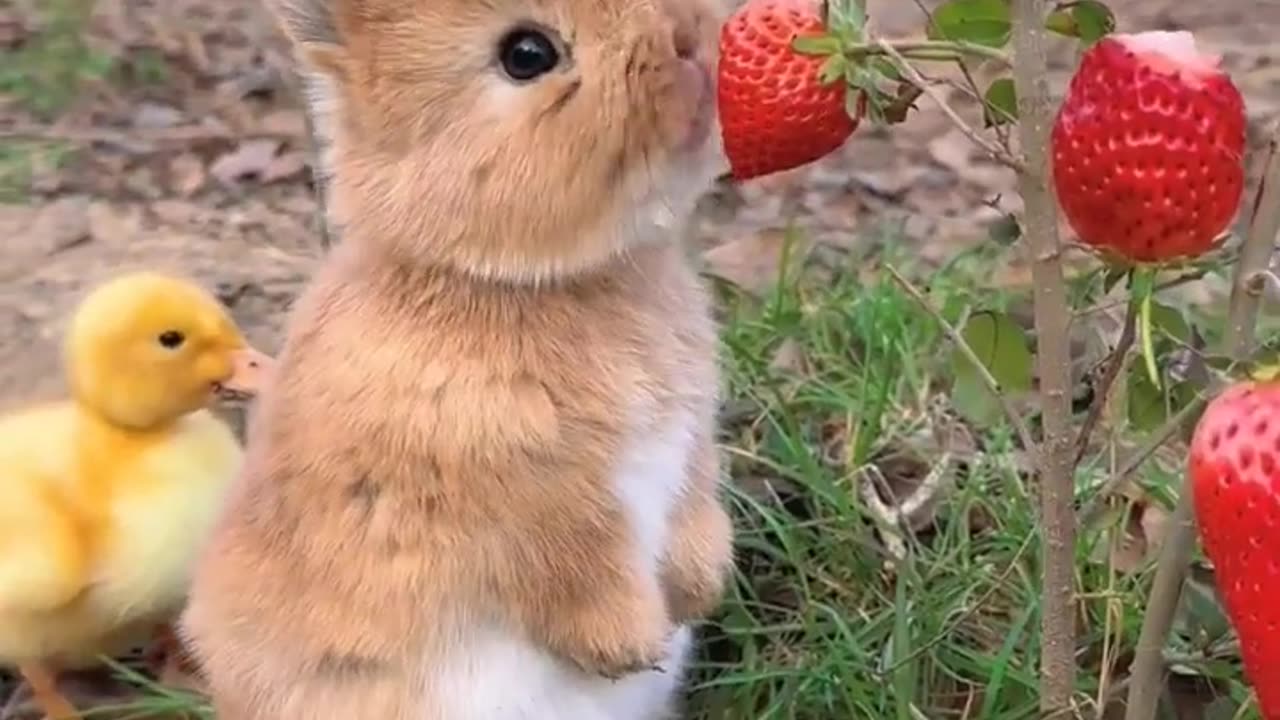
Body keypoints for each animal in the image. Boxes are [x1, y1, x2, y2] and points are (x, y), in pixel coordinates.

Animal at [183, 0, 742, 712]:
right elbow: (573, 565)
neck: (516, 282)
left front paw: (698, 591)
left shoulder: (690, 441)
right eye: (526, 55)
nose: (689, 40)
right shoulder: (523, 501)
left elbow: (694, 508)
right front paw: (628, 646)